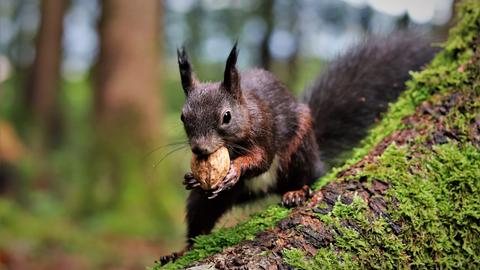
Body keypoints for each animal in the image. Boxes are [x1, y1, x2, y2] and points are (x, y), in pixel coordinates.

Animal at [159, 31, 436, 264]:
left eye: (226, 116)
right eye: (183, 117)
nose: (200, 149)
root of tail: (267, 189)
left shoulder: (266, 130)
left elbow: (261, 160)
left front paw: (235, 170)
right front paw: (191, 177)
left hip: (300, 151)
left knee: (309, 176)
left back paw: (296, 192)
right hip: (209, 201)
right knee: (199, 217)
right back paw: (180, 251)